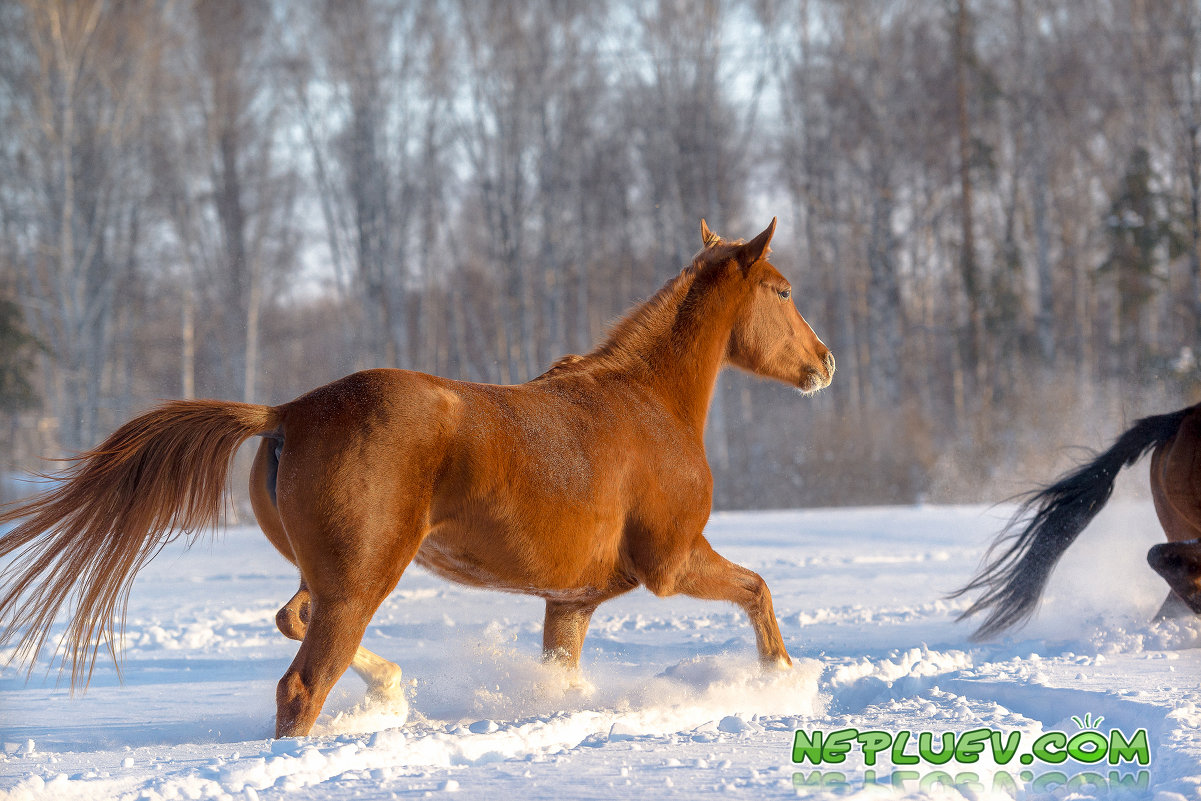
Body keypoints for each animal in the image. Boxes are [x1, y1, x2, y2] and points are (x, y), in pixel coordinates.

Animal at [0, 219, 835, 739]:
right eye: (783, 290)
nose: (824, 362)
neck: (647, 403)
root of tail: (288, 411)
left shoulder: (570, 600)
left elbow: (562, 677)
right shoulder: (670, 562)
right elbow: (759, 590)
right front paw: (783, 682)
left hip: (330, 574)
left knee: (295, 621)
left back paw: (391, 689)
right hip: (362, 579)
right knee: (303, 683)